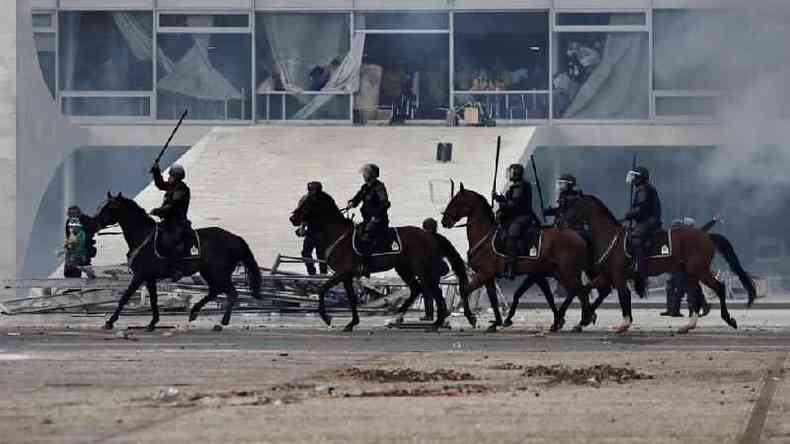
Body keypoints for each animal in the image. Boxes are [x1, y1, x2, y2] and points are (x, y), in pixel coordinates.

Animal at [92, 193, 260, 332]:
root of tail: (235, 238)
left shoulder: (139, 275)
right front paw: (152, 323)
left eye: (109, 207)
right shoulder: (149, 278)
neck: (143, 237)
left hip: (218, 273)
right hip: (209, 272)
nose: (93, 224)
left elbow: (125, 297)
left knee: (231, 292)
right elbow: (153, 300)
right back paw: (194, 313)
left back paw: (222, 322)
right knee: (215, 291)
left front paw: (110, 322)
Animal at [288, 189, 468, 332]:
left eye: (308, 202)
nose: (293, 218)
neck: (339, 235)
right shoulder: (346, 276)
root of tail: (429, 235)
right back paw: (401, 312)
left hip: (422, 269)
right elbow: (351, 298)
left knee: (434, 292)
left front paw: (327, 318)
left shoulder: (342, 272)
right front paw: (352, 323)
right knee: (416, 289)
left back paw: (435, 323)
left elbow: (322, 289)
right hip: (404, 268)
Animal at [440, 182, 592, 332]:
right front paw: (497, 322)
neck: (485, 236)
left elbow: (464, 291)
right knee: (578, 291)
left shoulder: (484, 274)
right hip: (561, 273)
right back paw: (578, 320)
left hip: (568, 272)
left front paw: (471, 318)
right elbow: (494, 298)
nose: (444, 221)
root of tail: (579, 236)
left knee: (579, 290)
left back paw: (581, 320)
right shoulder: (491, 276)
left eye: (456, 201)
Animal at [560, 194, 756, 332]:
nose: (561, 221)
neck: (610, 236)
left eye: (574, 206)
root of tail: (706, 235)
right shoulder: (607, 277)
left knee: (719, 288)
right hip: (690, 273)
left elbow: (624, 296)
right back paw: (689, 325)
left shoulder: (618, 276)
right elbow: (583, 289)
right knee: (694, 294)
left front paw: (624, 324)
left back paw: (728, 319)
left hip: (699, 270)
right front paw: (581, 320)